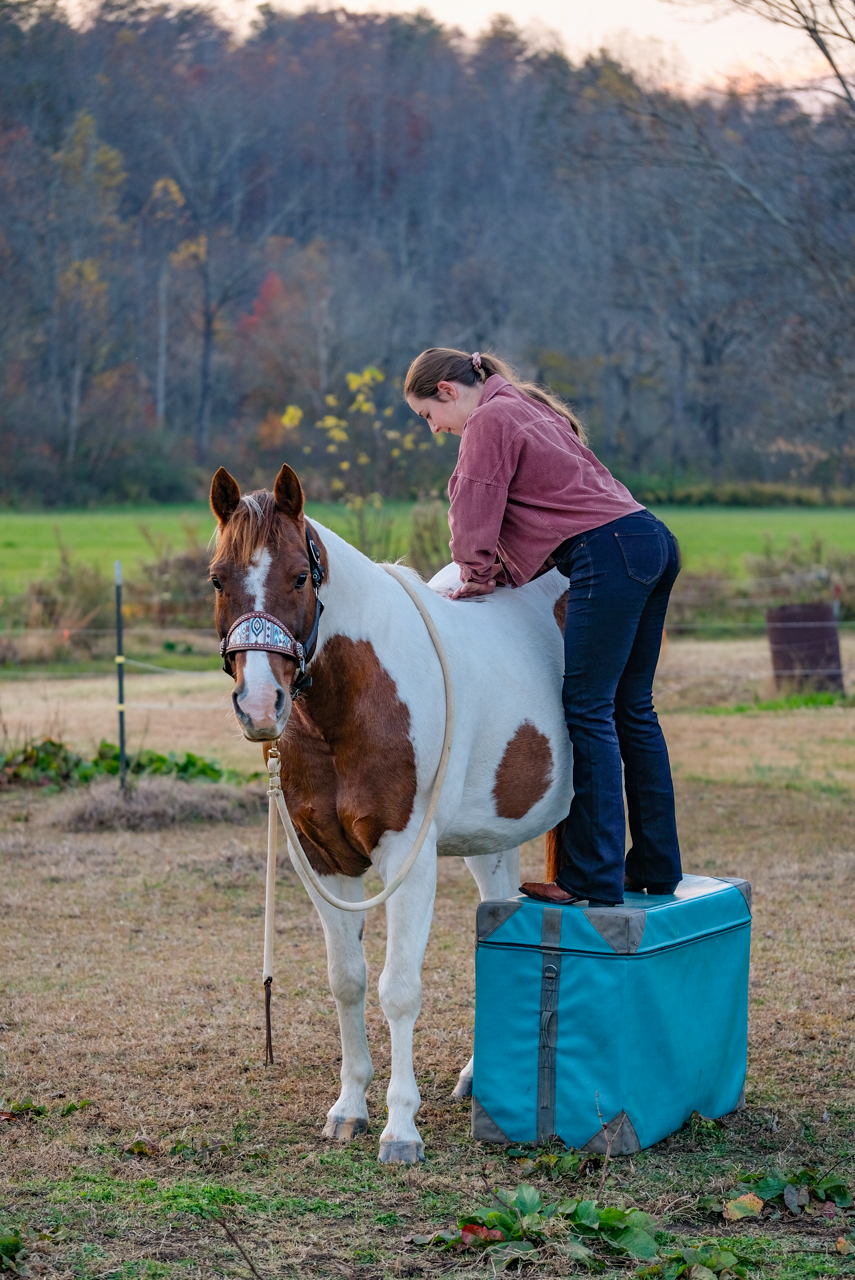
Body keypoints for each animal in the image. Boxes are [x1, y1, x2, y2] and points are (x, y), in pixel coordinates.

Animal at [209, 463, 571, 1164]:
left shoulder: (408, 855)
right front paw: (349, 1107)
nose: (261, 704)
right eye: (217, 578)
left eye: (300, 576)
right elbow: (346, 980)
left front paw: (401, 1128)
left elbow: (398, 988)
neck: (355, 699)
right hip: (492, 839)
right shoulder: (323, 860)